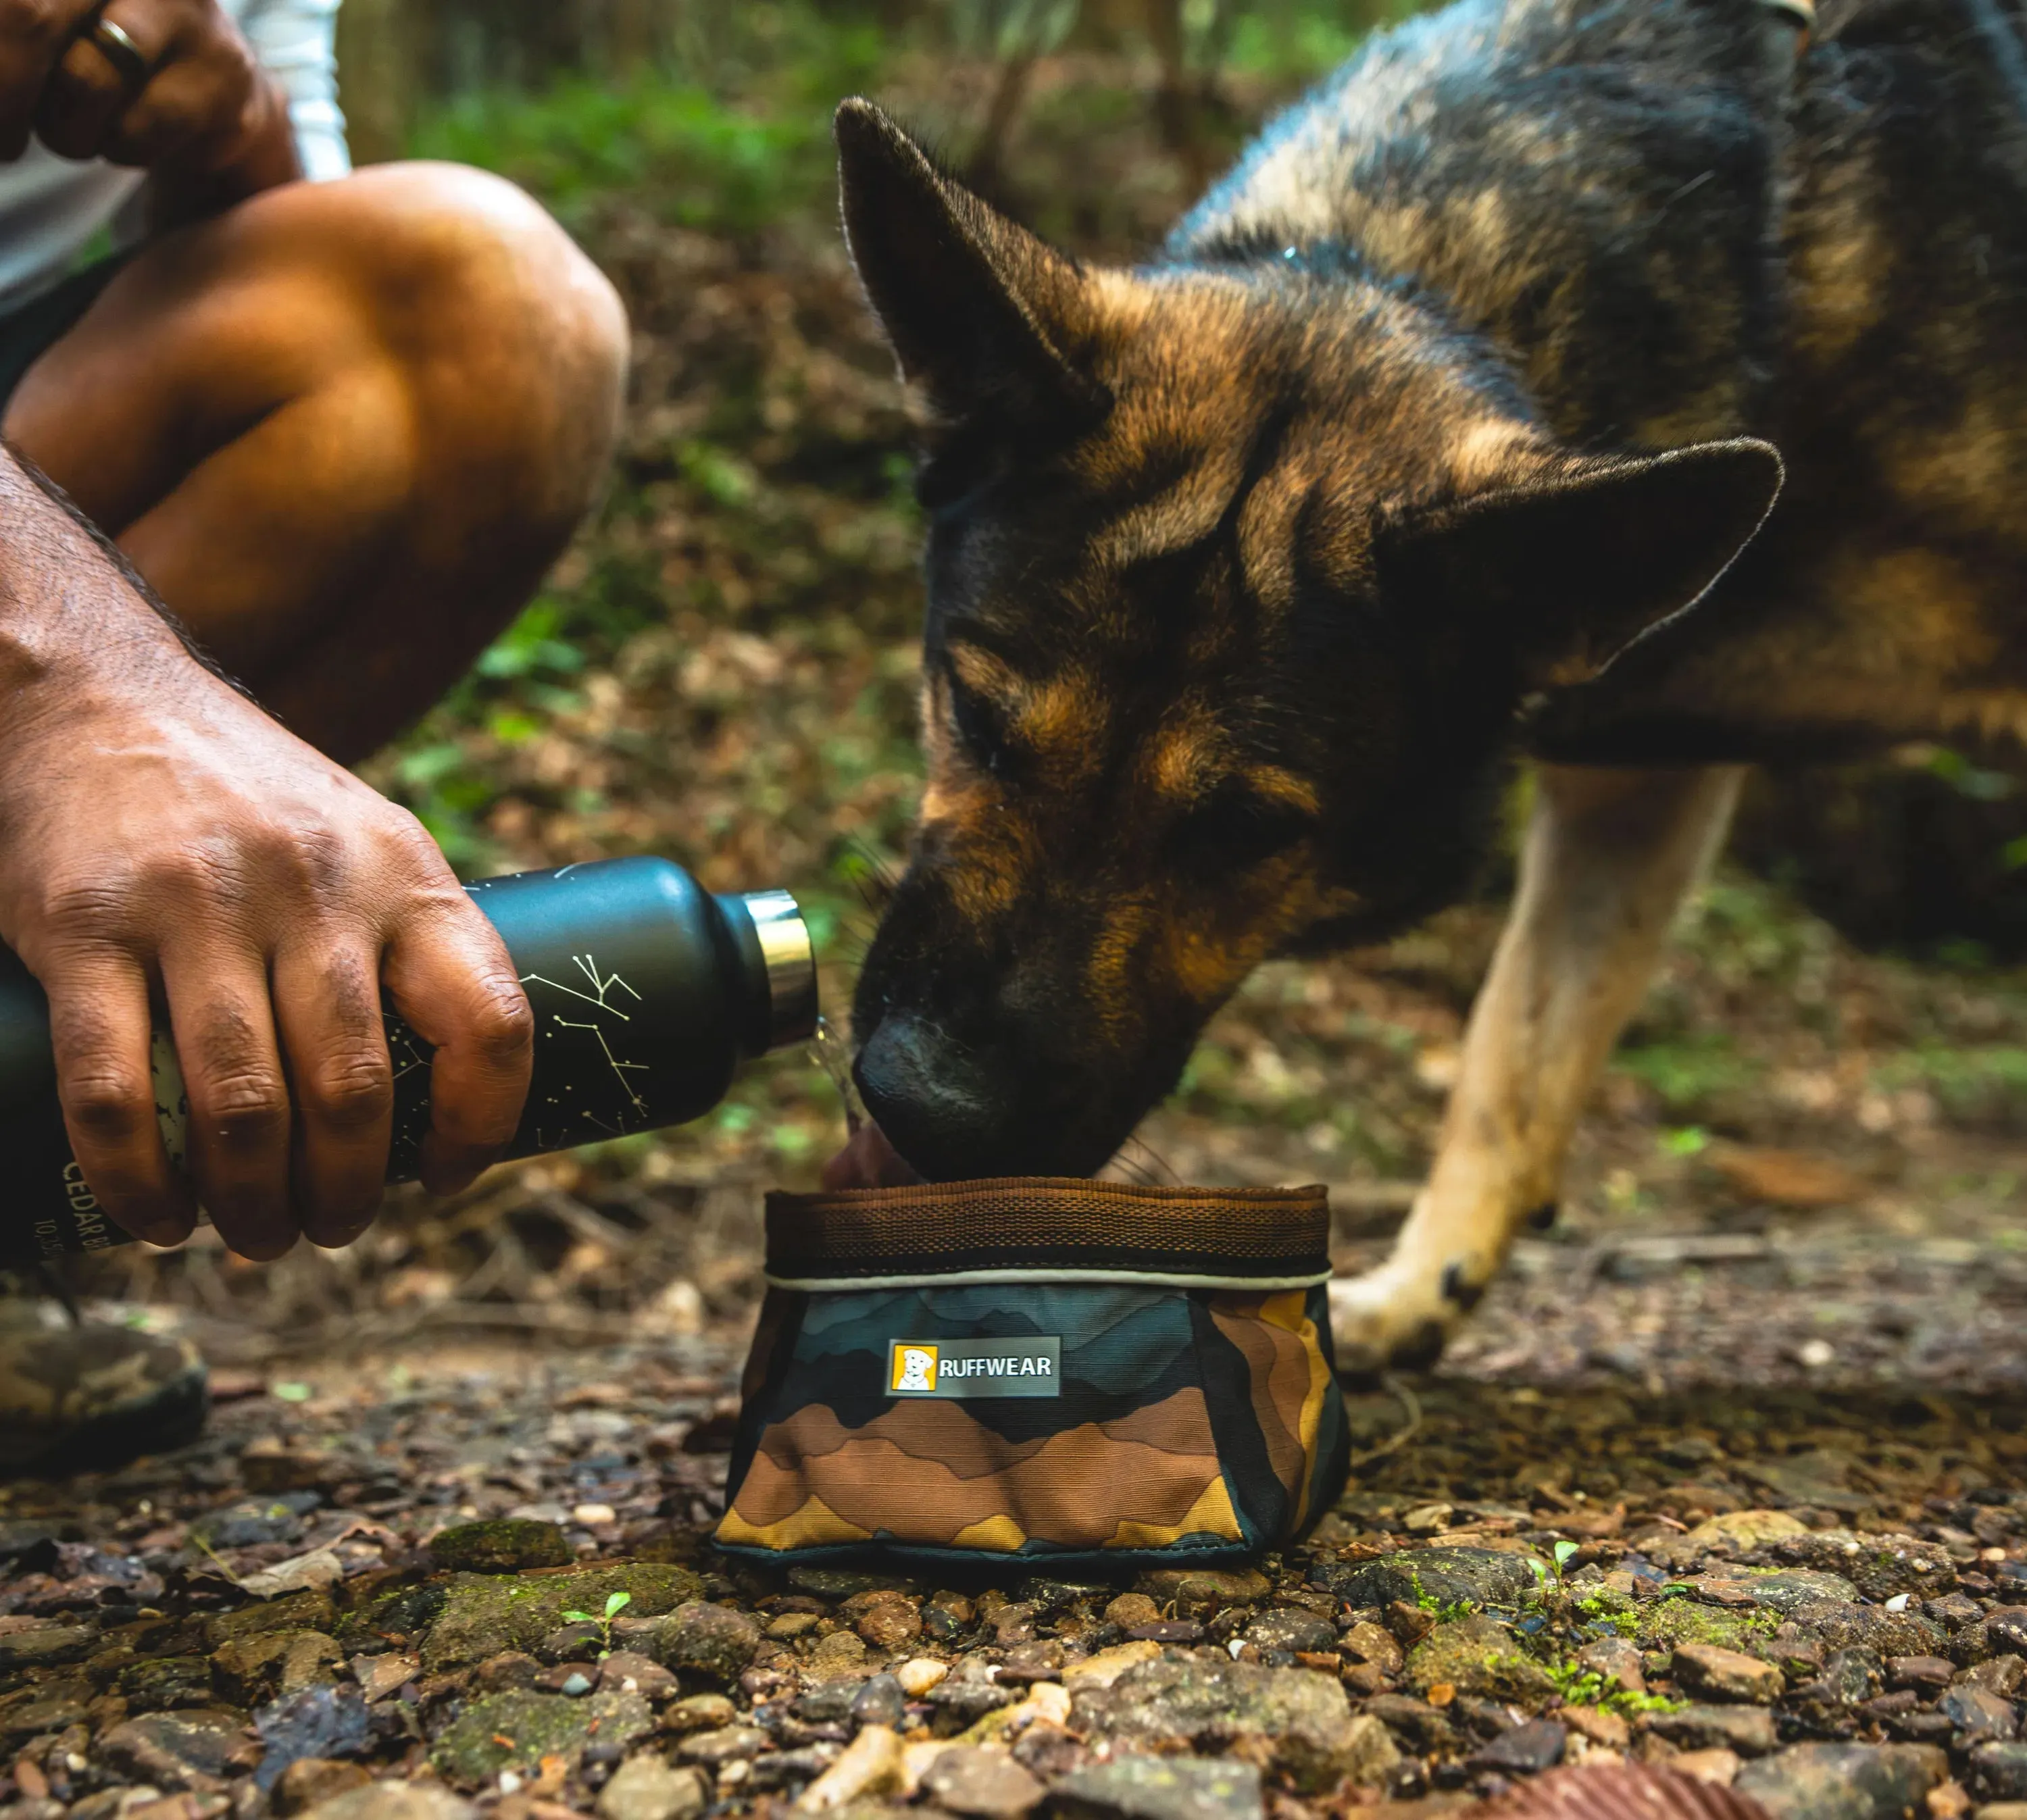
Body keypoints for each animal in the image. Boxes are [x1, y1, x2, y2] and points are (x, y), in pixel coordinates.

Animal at [827, 0, 2027, 1362]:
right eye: (976, 719)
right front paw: (1418, 1290)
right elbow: (1515, 1057)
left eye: (1242, 833)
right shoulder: (1640, 781)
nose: (930, 1116)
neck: (1415, 270)